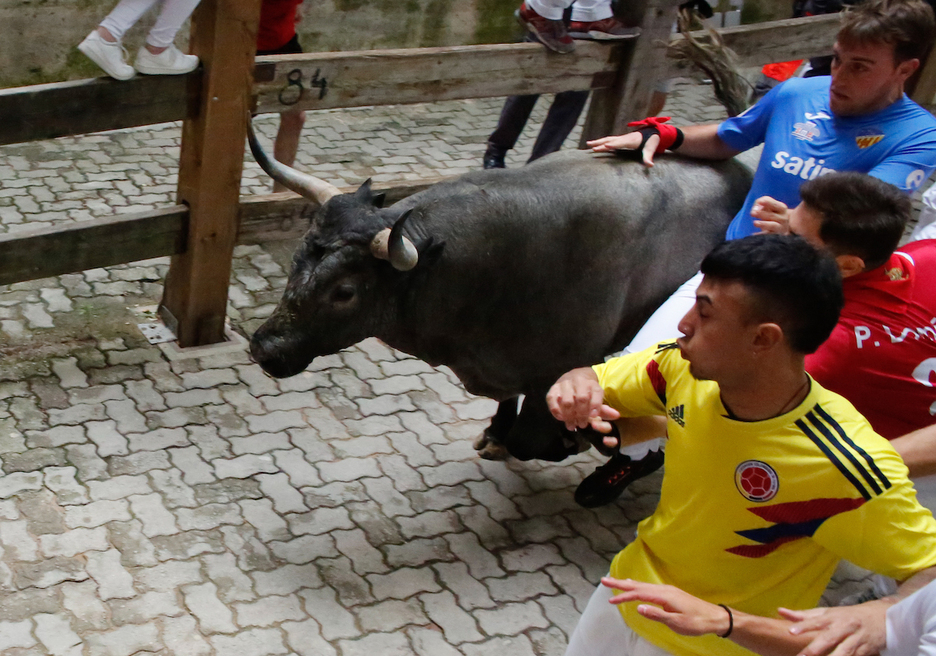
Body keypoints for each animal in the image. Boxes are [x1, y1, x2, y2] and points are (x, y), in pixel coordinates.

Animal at [249, 144, 752, 462]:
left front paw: (573, 439)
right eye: (295, 259)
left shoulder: (560, 370)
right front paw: (496, 433)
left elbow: (532, 438)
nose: (264, 348)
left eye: (345, 291)